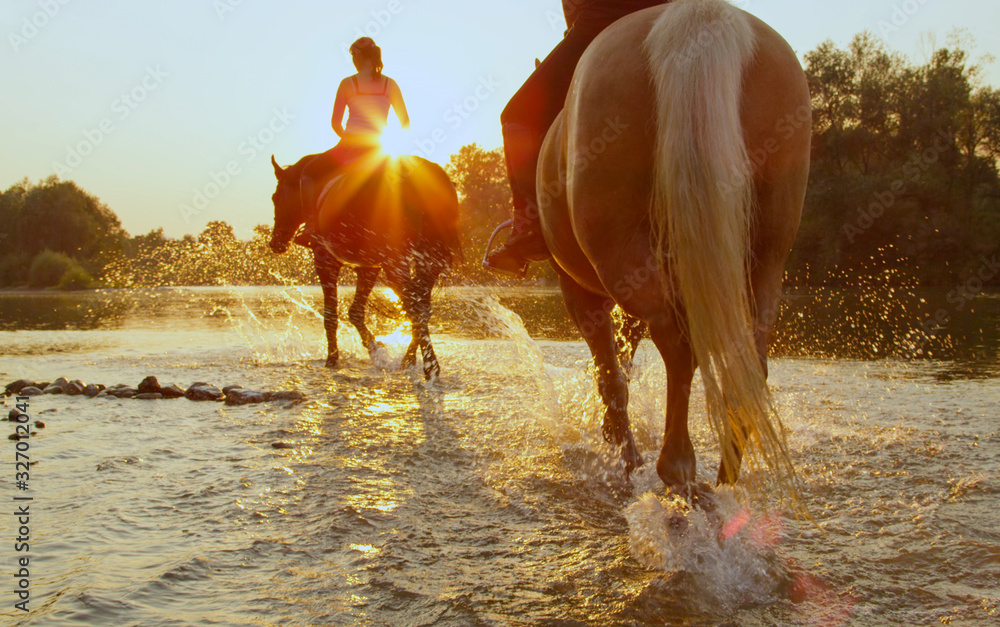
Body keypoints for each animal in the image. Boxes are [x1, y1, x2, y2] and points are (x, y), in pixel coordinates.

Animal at [272, 152, 462, 378]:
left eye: (275, 198)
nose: (275, 243)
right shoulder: (369, 268)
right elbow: (355, 311)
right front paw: (375, 348)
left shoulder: (325, 260)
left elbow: (331, 315)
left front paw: (333, 359)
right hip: (428, 260)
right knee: (422, 307)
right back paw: (411, 360)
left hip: (397, 262)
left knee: (415, 307)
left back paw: (429, 365)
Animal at [536, 0, 808, 500]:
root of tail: (693, 19)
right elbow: (624, 353)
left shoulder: (576, 287)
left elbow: (610, 370)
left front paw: (618, 446)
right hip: (766, 256)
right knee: (750, 361)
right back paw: (726, 471)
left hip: (620, 253)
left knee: (678, 346)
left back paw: (673, 464)